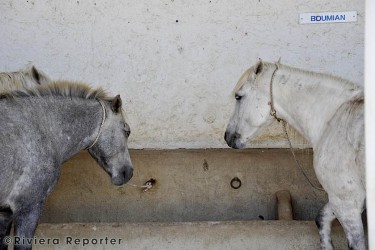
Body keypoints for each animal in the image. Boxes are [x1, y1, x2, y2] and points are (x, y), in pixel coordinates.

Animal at [225, 59, 366, 249]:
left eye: (238, 96)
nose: (227, 136)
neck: (335, 118)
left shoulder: (346, 200)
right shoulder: (346, 199)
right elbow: (321, 218)